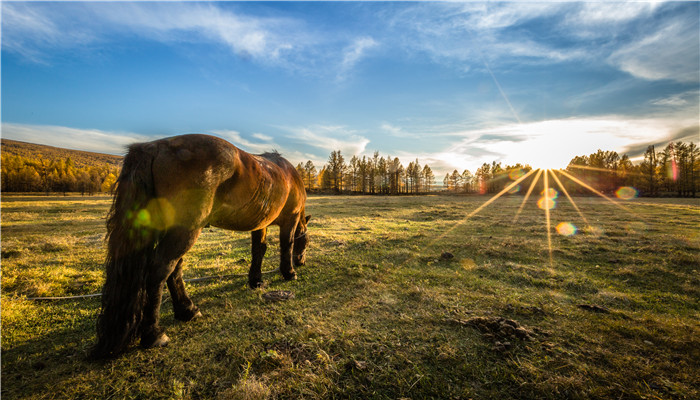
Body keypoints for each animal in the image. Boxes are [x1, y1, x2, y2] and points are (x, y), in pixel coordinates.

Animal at [91, 134, 310, 360]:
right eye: (306, 242)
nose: (301, 262)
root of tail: (154, 147)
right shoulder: (290, 219)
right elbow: (286, 245)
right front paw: (289, 273)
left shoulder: (260, 223)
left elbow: (259, 250)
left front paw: (256, 280)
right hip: (185, 231)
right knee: (161, 269)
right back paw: (154, 334)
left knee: (174, 269)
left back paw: (187, 310)